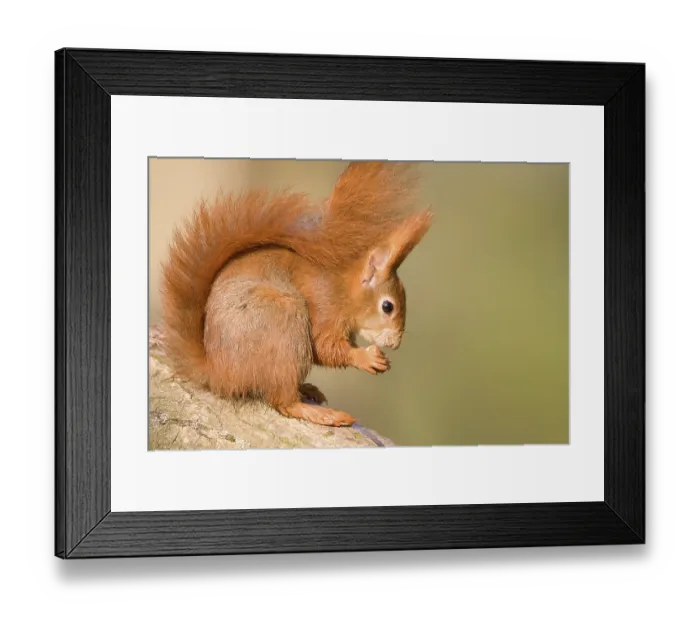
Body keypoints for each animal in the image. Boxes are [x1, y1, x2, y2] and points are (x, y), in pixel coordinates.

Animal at [160, 161, 433, 427]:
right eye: (388, 306)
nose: (395, 344)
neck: (342, 290)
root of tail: (219, 373)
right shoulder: (324, 307)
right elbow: (325, 348)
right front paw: (366, 357)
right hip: (285, 323)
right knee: (283, 402)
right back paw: (324, 414)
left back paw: (308, 389)